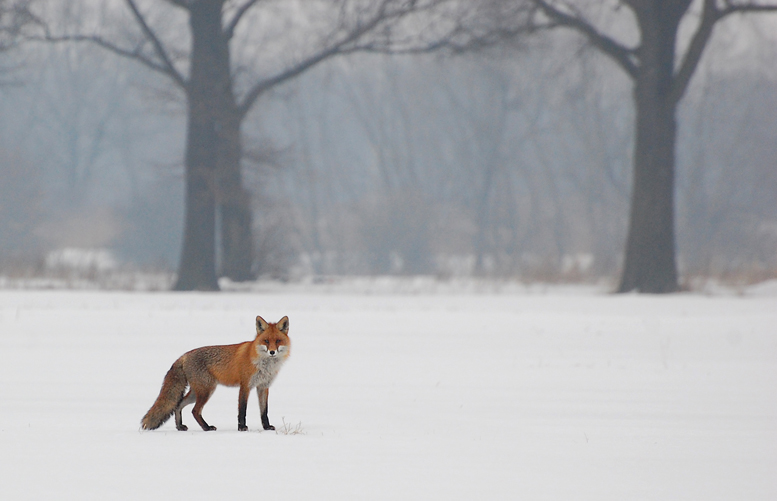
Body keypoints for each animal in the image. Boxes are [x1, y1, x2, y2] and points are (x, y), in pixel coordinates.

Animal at [141, 316, 290, 430]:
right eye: (266, 341)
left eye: (278, 341)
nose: (272, 352)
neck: (264, 364)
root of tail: (184, 356)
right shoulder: (245, 386)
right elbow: (242, 410)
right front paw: (242, 427)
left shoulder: (263, 387)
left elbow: (264, 411)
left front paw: (266, 427)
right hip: (207, 390)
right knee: (195, 411)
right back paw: (206, 428)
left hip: (197, 392)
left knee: (178, 405)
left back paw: (180, 426)